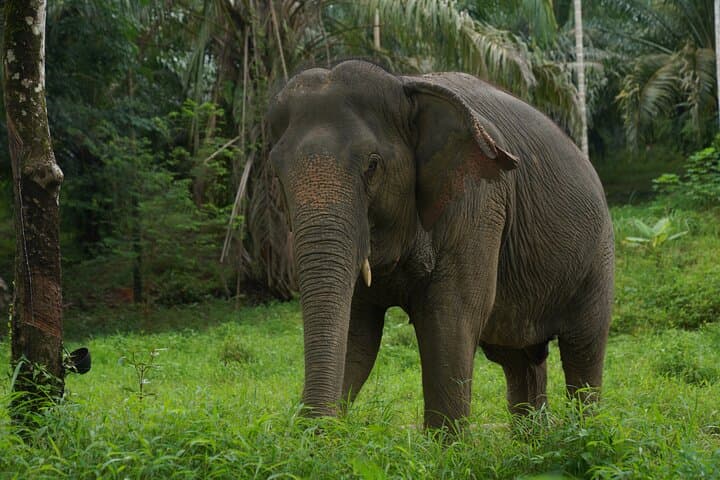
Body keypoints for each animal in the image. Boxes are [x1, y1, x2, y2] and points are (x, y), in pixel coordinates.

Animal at [267, 60, 613, 429]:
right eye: (276, 171)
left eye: (372, 165)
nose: (310, 427)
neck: (403, 85)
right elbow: (356, 332)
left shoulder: (478, 201)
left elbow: (451, 317)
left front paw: (445, 444)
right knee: (519, 359)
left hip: (598, 255)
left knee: (583, 347)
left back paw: (584, 430)